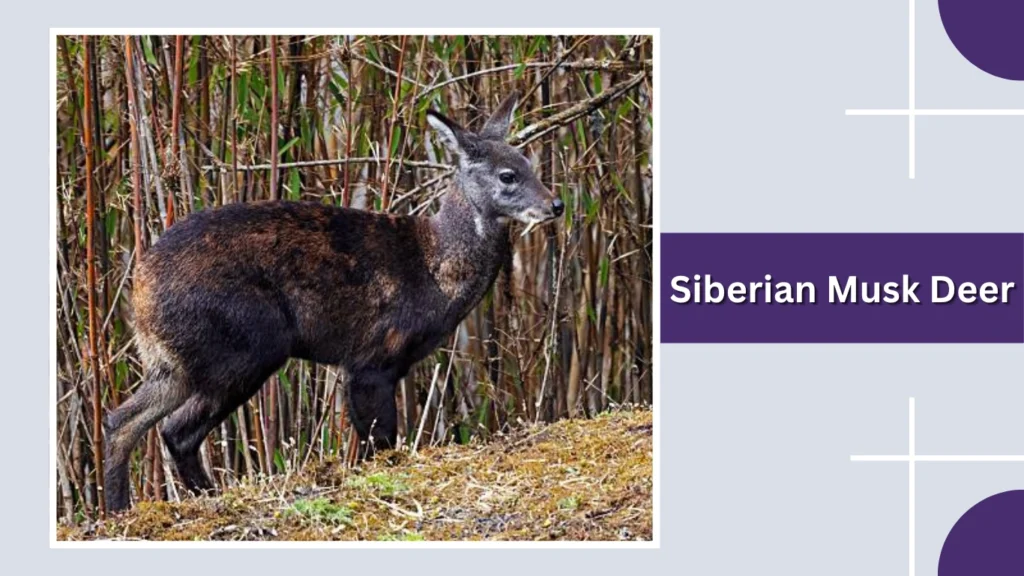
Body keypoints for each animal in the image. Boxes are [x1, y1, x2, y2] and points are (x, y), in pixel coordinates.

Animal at [102, 91, 564, 513]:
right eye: (508, 175)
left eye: (529, 163)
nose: (556, 204)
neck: (434, 270)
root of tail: (140, 290)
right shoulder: (371, 357)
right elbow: (381, 440)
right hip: (245, 344)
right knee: (176, 429)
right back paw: (205, 498)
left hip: (176, 361)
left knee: (122, 420)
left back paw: (119, 508)